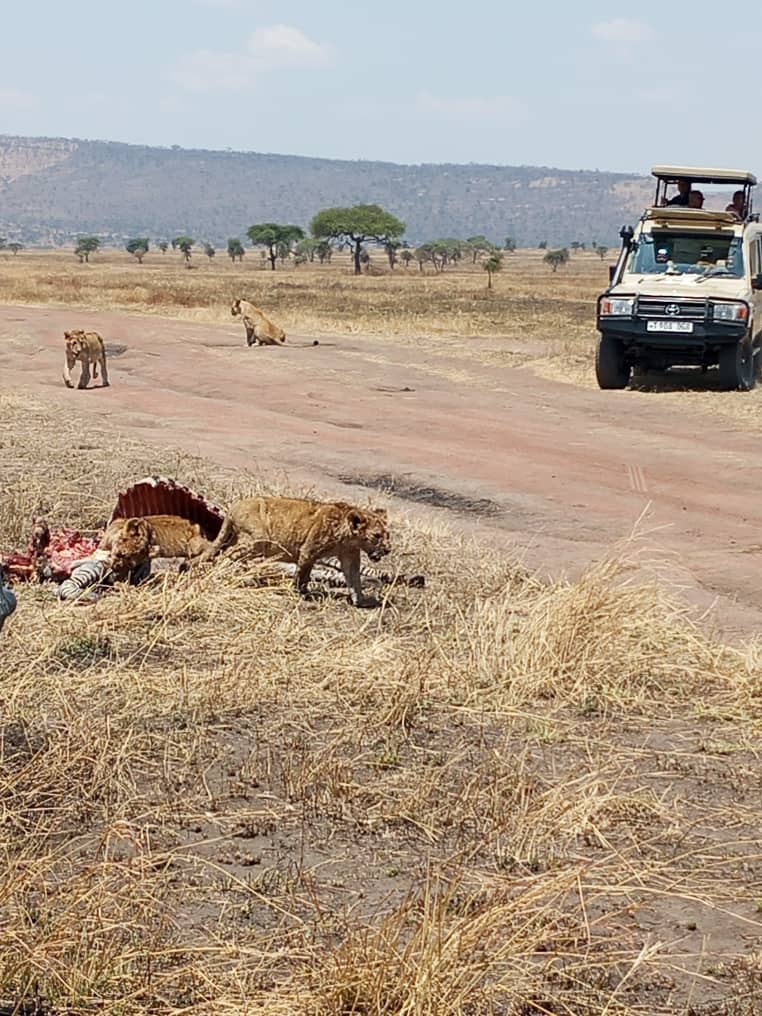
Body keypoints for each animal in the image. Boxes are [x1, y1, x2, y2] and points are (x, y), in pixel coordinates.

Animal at [200, 496, 391, 607]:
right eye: (377, 536)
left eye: (387, 535)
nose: (388, 550)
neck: (348, 538)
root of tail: (232, 508)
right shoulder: (308, 550)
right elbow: (303, 574)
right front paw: (300, 593)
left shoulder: (350, 556)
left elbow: (354, 579)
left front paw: (361, 601)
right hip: (259, 539)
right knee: (229, 554)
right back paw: (225, 573)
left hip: (240, 538)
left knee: (224, 551)